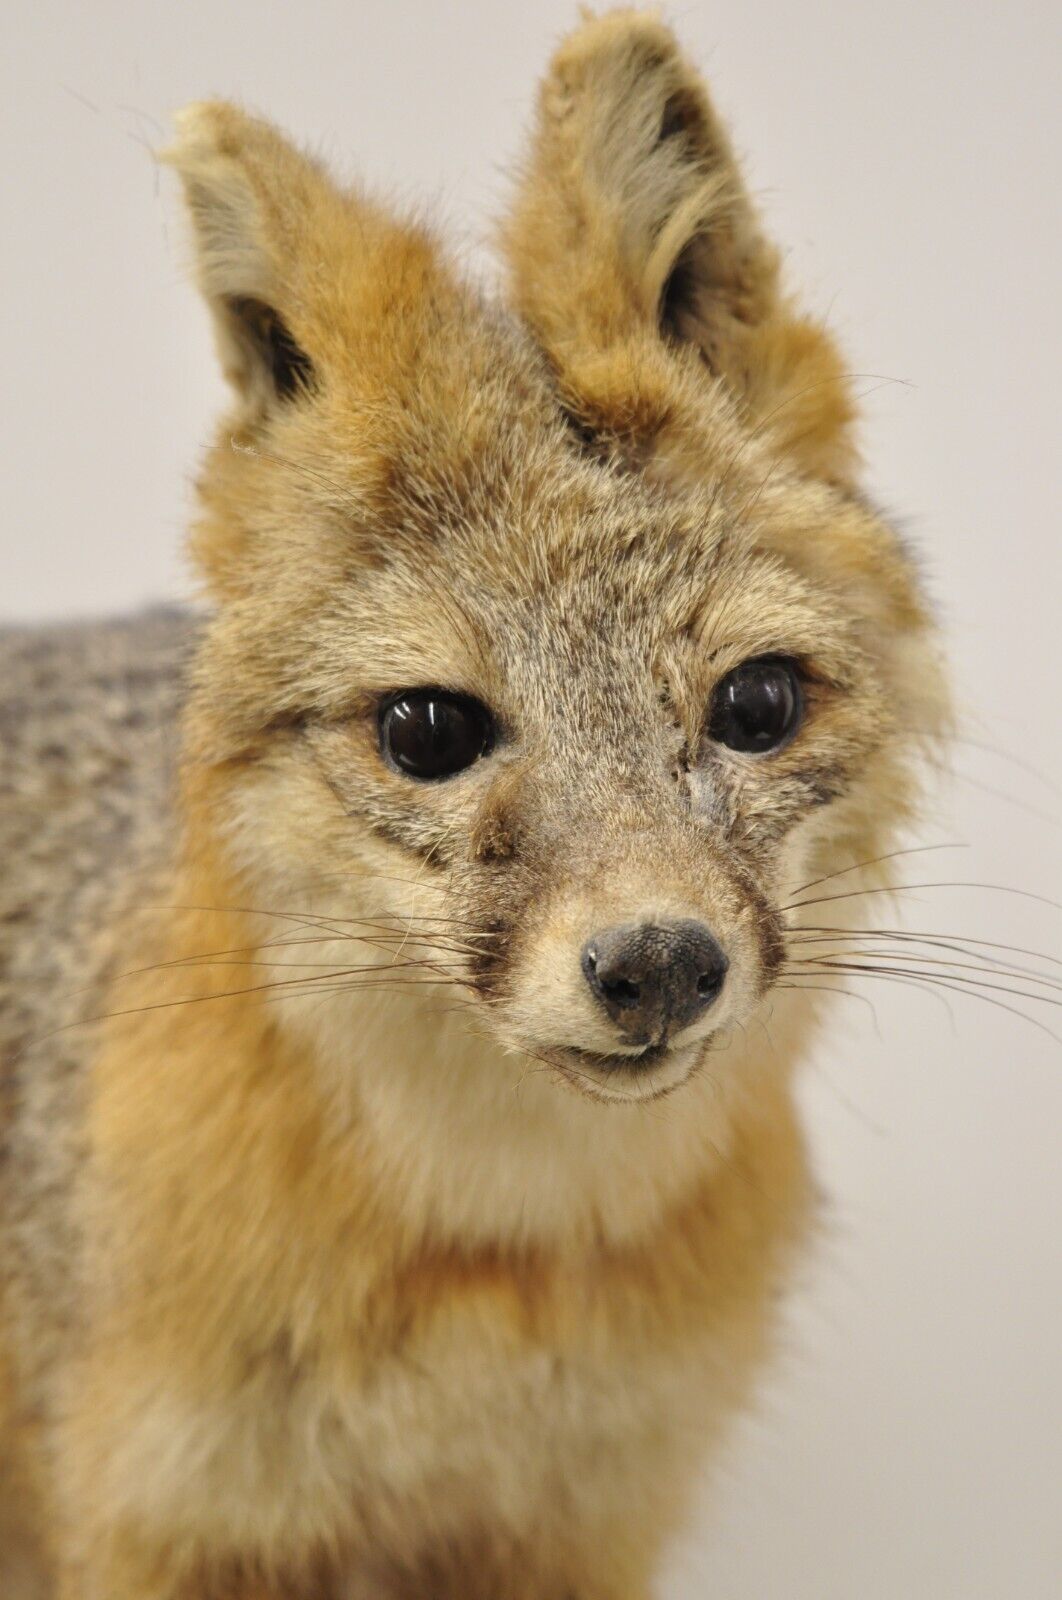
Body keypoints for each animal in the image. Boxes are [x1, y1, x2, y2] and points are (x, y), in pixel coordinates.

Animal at [0, 12, 946, 1600]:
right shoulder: (153, 1529)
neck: (501, 1266)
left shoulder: (575, 1531)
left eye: (755, 706)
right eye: (429, 730)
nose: (658, 965)